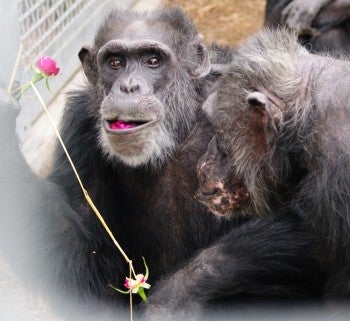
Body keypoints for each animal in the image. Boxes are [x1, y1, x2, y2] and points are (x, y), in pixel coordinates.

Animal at [0, 5, 322, 320]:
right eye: (115, 63)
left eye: (152, 61)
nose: (129, 87)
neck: (179, 128)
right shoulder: (77, 130)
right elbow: (88, 260)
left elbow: (308, 212)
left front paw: (175, 297)